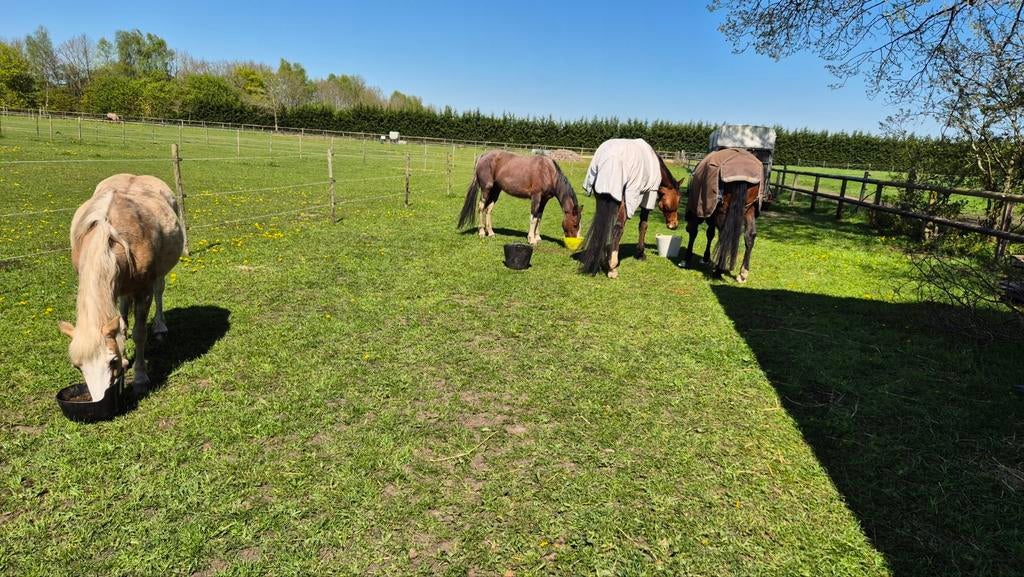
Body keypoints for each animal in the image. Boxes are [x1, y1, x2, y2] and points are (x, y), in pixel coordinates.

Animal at [58, 174, 184, 401]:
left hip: (158, 275)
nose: (100, 399)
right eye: (78, 367)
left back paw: (160, 327)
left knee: (159, 291)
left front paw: (141, 378)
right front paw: (126, 357)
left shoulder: (143, 291)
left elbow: (139, 333)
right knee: (124, 309)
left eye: (112, 361)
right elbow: (120, 326)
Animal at [577, 138, 682, 278]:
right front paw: (640, 253)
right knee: (617, 229)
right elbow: (643, 225)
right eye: (679, 200)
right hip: (625, 201)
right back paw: (612, 267)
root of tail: (609, 160)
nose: (674, 224)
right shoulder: (648, 196)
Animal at [680, 148, 763, 282]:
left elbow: (695, 232)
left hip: (724, 210)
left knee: (724, 234)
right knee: (750, 235)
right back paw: (742, 273)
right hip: (749, 208)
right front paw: (705, 258)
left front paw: (686, 259)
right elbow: (710, 233)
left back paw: (718, 271)